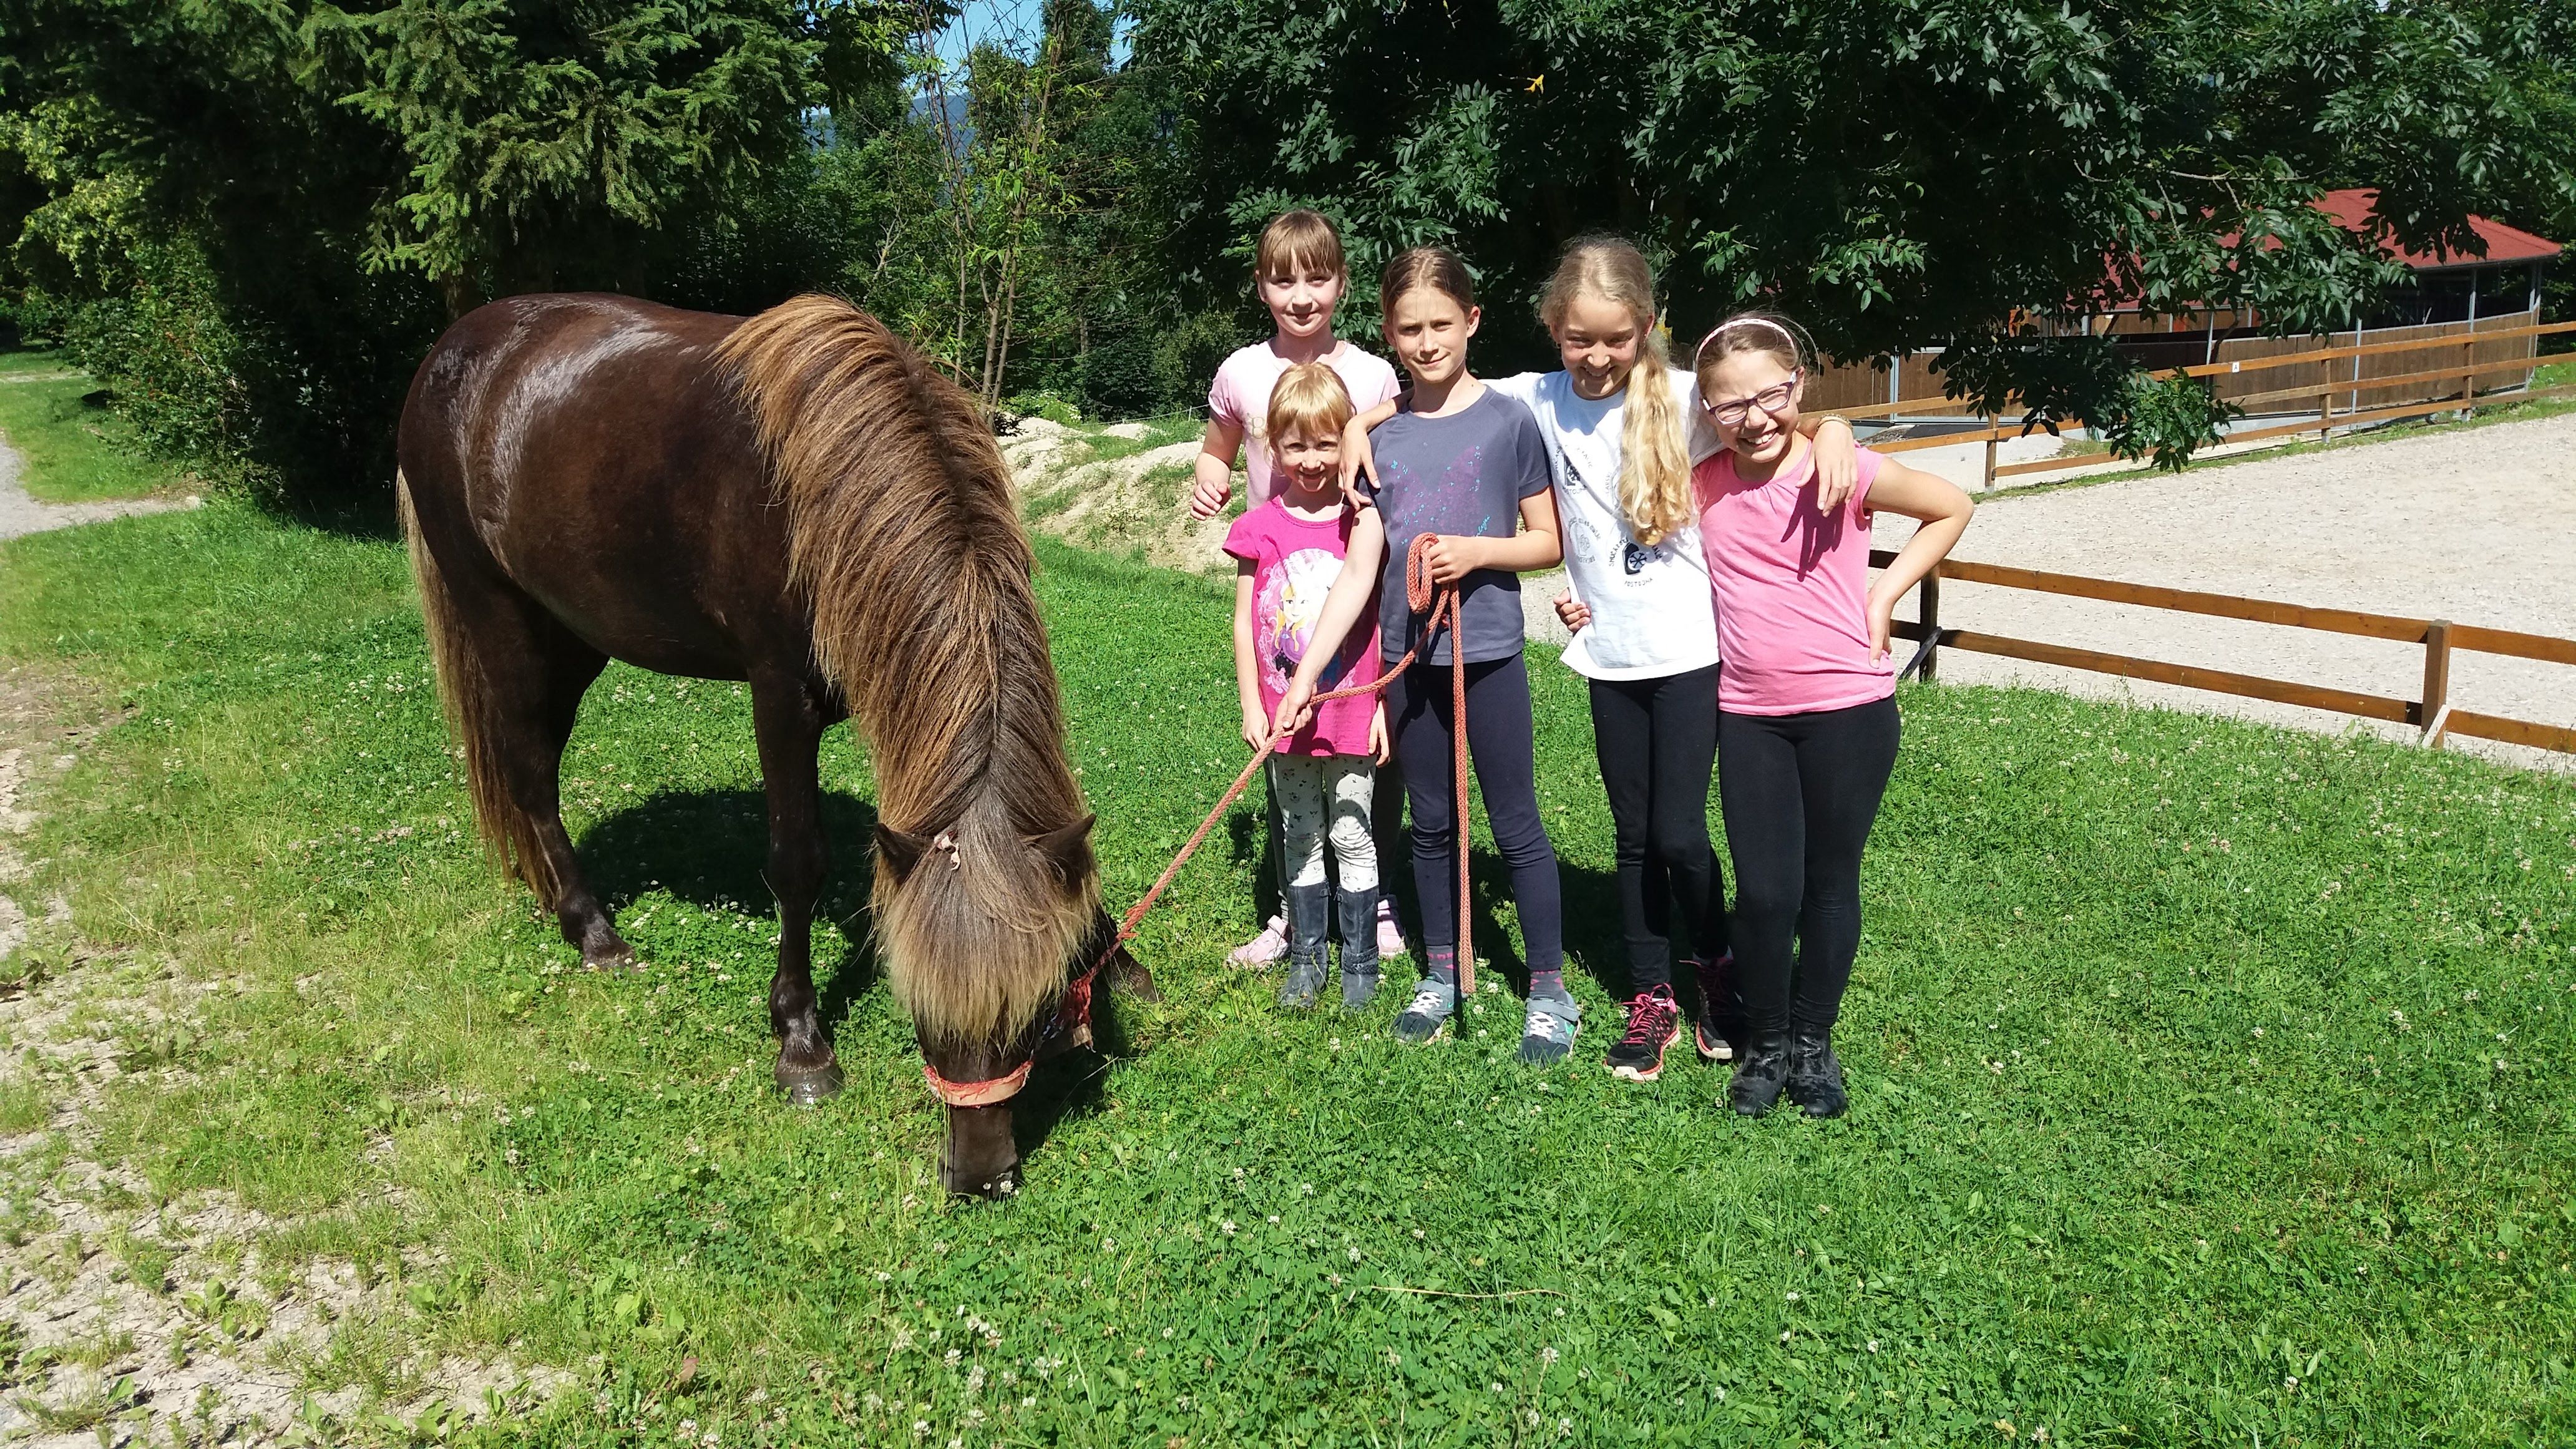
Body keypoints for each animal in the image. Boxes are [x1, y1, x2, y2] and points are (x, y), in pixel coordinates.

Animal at [394, 294, 1149, 1196]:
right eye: (920, 1014)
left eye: (1031, 1017)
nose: (980, 1175)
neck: (831, 483)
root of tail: (455, 350)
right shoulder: (780, 696)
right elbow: (798, 861)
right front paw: (801, 1042)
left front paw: (1113, 958)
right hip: (499, 617)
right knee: (531, 774)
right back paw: (593, 931)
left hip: (573, 634)